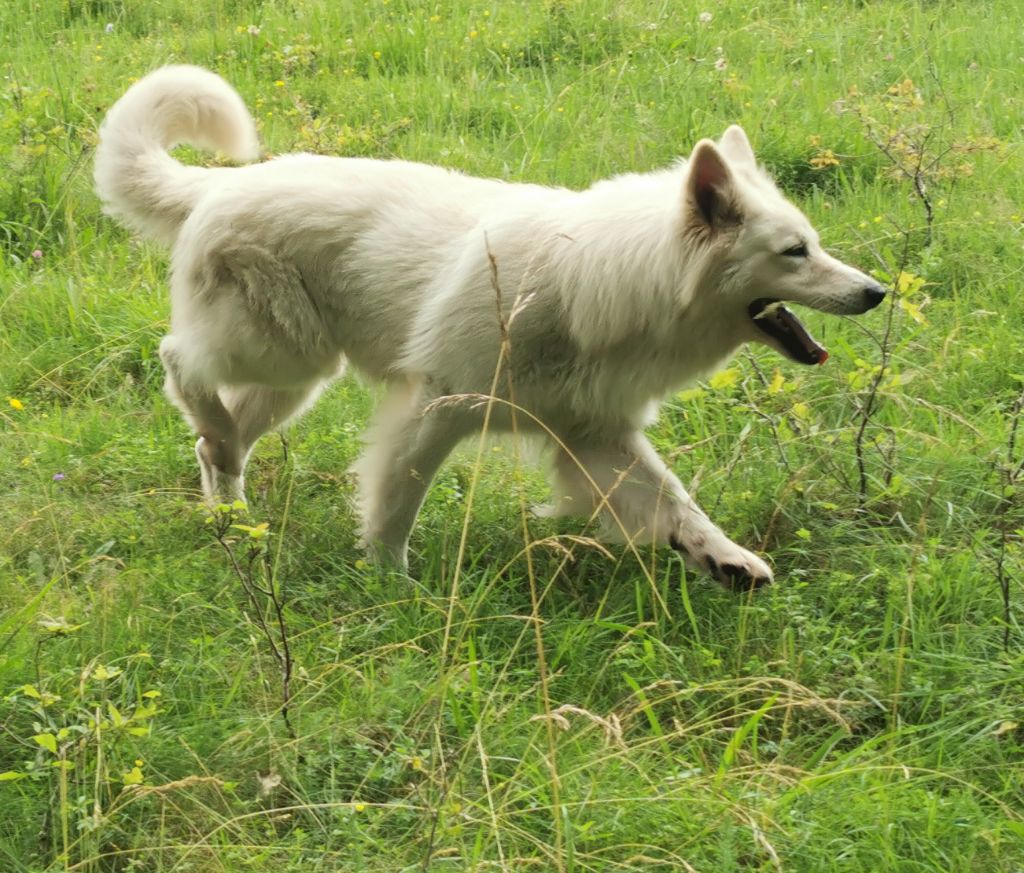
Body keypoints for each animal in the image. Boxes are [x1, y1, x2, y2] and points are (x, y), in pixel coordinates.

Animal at [92, 64, 884, 589]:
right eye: (796, 252)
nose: (875, 292)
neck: (605, 278)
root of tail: (221, 183)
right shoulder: (436, 407)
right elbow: (395, 503)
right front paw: (393, 586)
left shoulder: (596, 434)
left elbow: (675, 502)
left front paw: (726, 560)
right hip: (280, 352)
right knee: (179, 363)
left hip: (294, 379)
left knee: (216, 446)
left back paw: (234, 518)